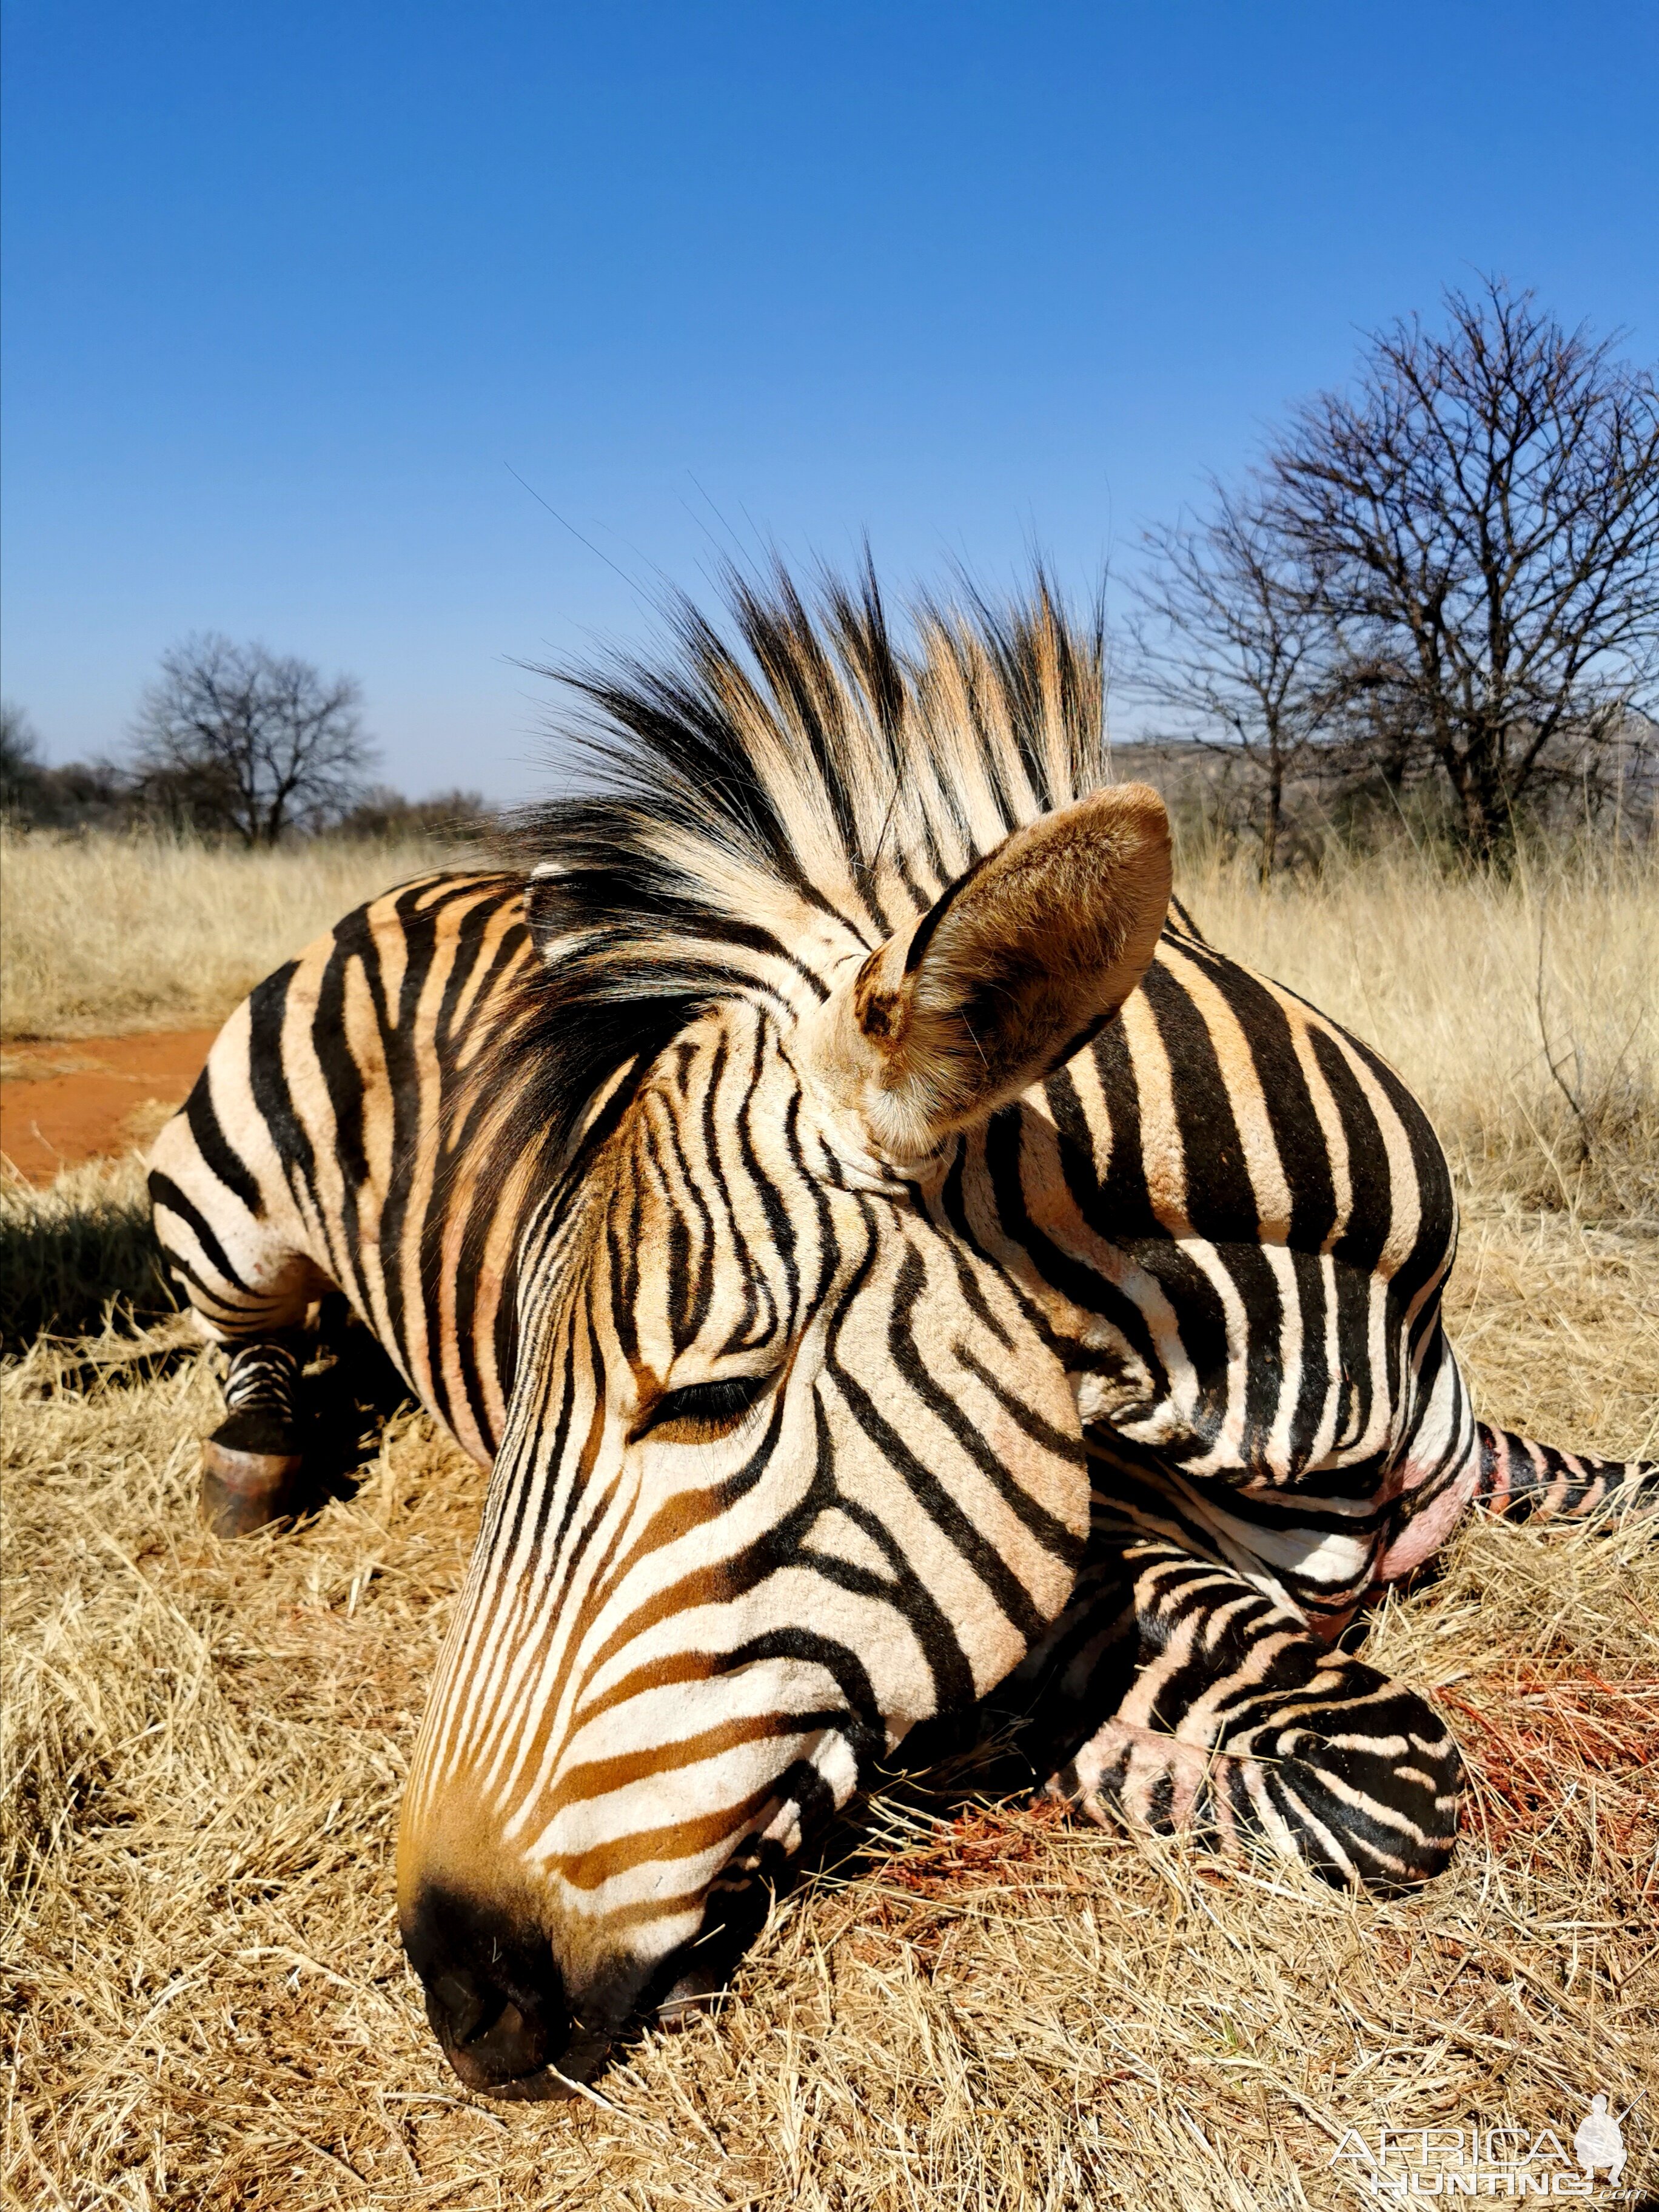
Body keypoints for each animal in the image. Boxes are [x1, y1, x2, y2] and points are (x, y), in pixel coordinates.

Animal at [149, 566, 1654, 2088]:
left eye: (712, 1395)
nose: (458, 1983)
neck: (1319, 1389)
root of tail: (414, 881)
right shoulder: (1088, 1560)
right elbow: (1387, 1774)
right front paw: (1002, 1759)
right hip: (222, 1199)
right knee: (242, 1342)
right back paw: (254, 1452)